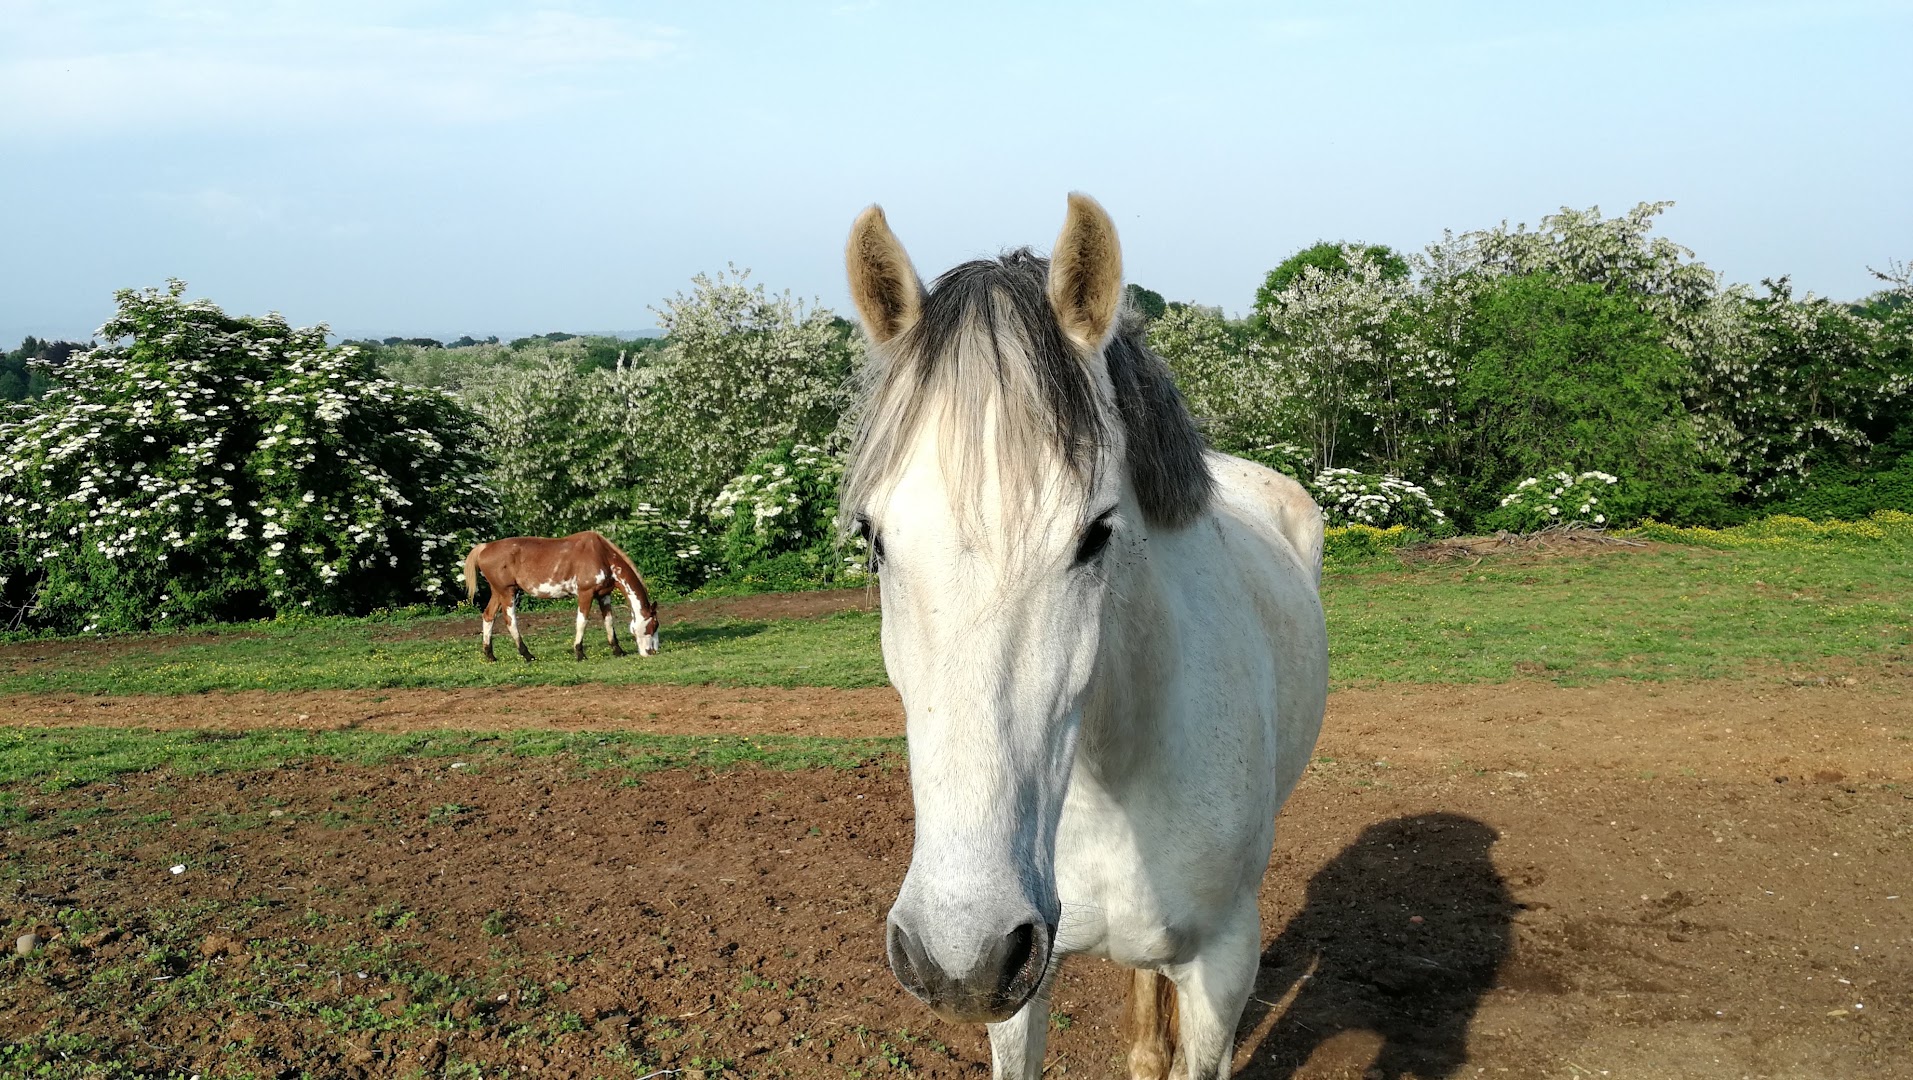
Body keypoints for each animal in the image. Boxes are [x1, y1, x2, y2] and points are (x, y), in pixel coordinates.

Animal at [462, 531, 660, 661]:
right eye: (653, 625)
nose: (653, 652)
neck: (601, 555)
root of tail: (484, 548)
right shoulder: (585, 593)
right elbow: (582, 622)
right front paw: (579, 653)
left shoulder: (604, 595)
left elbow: (609, 622)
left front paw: (618, 651)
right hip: (508, 592)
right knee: (510, 621)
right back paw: (527, 655)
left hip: (498, 592)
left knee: (488, 616)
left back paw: (490, 656)